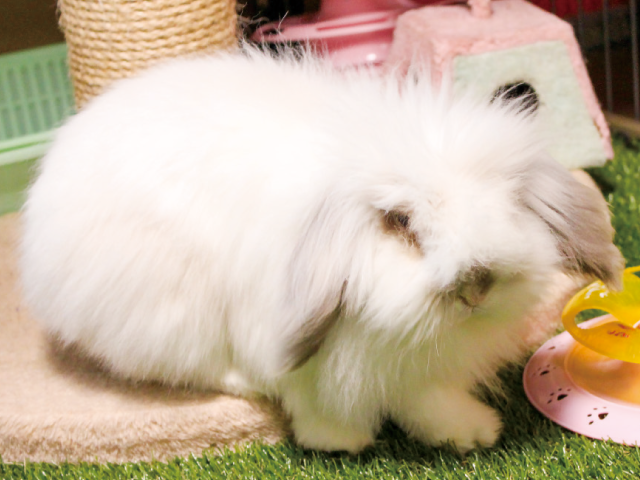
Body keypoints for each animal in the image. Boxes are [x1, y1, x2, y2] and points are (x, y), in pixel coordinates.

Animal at [18, 47, 620, 454]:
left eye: (509, 202)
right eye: (400, 222)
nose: (477, 286)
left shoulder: (414, 360)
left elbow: (426, 397)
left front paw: (470, 433)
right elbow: (306, 393)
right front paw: (338, 440)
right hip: (165, 310)